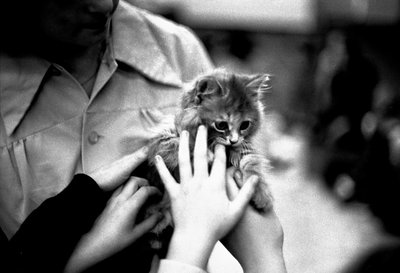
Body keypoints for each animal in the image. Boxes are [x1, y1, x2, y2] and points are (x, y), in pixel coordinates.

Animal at [141, 68, 276, 251]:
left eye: (245, 125)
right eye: (222, 125)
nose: (234, 140)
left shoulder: (243, 147)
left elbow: (252, 162)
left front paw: (262, 194)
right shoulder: (161, 141)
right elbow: (184, 144)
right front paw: (208, 154)